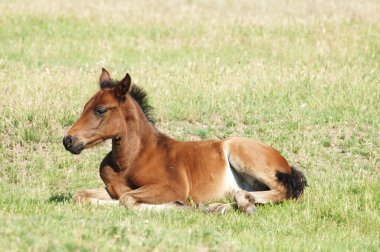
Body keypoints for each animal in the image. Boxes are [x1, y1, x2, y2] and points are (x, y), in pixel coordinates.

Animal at [62, 69, 306, 215]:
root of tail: (284, 161)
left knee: (285, 191)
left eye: (100, 110)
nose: (68, 140)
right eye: (85, 107)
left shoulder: (172, 186)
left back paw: (241, 203)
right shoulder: (112, 189)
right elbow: (84, 196)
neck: (129, 161)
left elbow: (128, 200)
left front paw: (196, 207)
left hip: (242, 154)